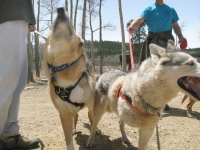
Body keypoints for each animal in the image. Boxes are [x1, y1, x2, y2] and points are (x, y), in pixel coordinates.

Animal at [42, 7, 95, 150]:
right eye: (52, 25)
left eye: (71, 24)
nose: (60, 9)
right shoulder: (64, 113)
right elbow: (68, 139)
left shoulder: (92, 104)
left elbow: (93, 122)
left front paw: (92, 138)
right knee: (76, 118)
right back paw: (74, 129)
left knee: (91, 118)